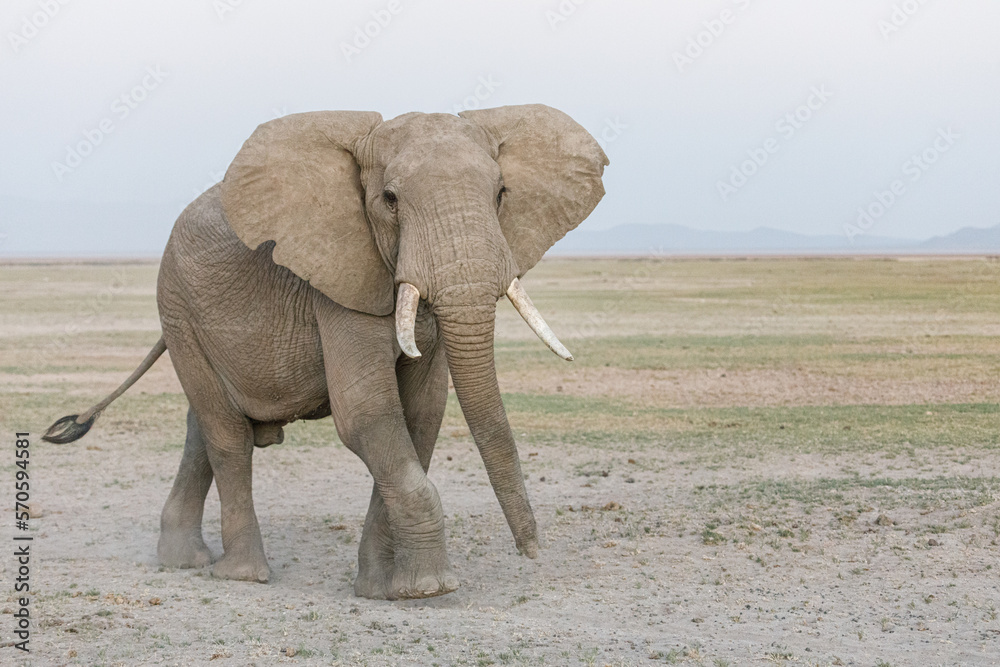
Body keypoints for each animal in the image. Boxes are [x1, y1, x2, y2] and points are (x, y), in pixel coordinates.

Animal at [43, 104, 608, 600]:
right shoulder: (337, 283)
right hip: (177, 307)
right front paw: (431, 589)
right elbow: (368, 416)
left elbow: (419, 417)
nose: (532, 552)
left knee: (200, 427)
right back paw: (242, 575)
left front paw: (383, 591)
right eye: (389, 199)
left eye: (501, 193)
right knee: (225, 433)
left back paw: (184, 562)